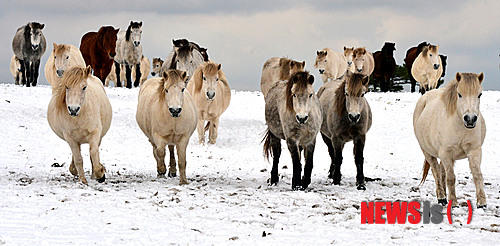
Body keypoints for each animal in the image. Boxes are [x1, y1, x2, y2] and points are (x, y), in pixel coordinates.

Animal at [414, 72, 488, 208]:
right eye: (459, 94)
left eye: (479, 94)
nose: (470, 119)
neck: (459, 126)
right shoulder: (446, 153)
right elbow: (451, 178)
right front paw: (453, 202)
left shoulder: (474, 151)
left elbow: (477, 175)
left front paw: (481, 203)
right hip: (428, 152)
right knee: (436, 171)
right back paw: (442, 197)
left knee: (441, 171)